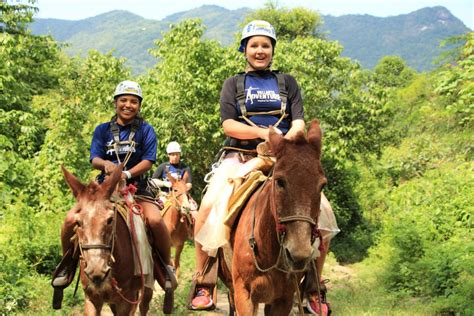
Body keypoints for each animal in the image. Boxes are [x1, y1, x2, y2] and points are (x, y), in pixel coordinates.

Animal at [61, 167, 154, 314]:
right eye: (77, 222)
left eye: (110, 220)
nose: (97, 270)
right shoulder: (92, 298)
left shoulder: (126, 300)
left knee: (144, 305)